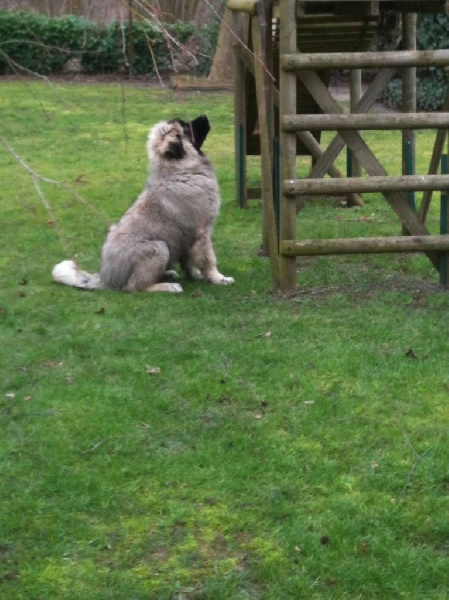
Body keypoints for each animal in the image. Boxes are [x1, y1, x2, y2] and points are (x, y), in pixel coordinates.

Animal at [52, 115, 234, 292]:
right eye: (186, 126)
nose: (204, 116)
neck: (178, 170)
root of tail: (105, 279)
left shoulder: (187, 238)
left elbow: (188, 261)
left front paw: (195, 274)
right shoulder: (202, 232)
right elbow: (208, 258)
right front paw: (218, 278)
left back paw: (167, 274)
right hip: (158, 248)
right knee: (134, 287)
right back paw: (166, 286)